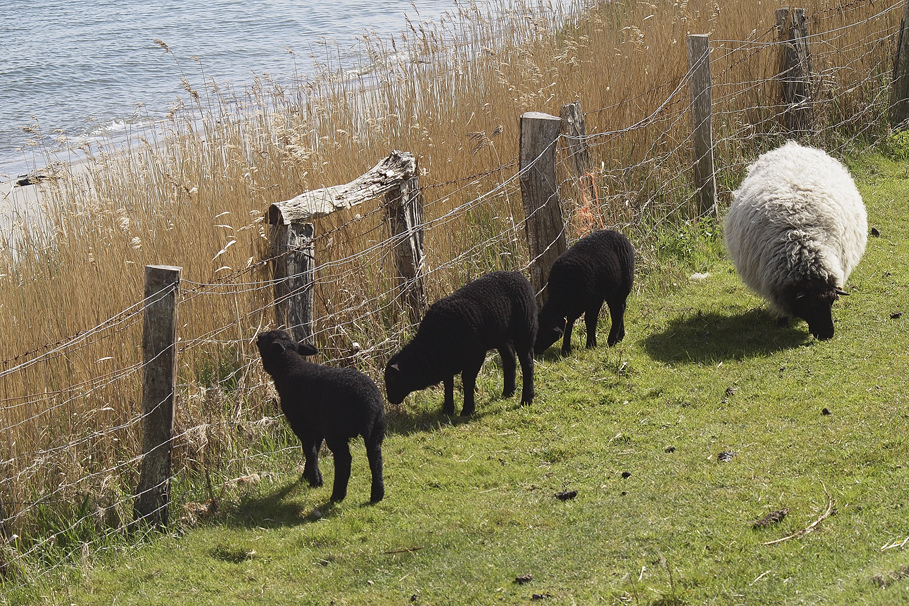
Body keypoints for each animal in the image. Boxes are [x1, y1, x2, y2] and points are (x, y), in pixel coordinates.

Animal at [254, 330, 384, 506]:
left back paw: (337, 495)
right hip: (376, 428)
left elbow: (309, 449)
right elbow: (314, 449)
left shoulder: (302, 425)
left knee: (344, 460)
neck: (289, 369)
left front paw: (315, 480)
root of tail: (367, 401)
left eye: (266, 339)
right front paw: (307, 474)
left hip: (336, 430)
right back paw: (377, 494)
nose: (258, 336)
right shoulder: (317, 426)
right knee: (375, 456)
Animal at [384, 272, 540, 418]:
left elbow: (467, 379)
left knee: (527, 364)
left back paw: (527, 399)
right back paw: (508, 392)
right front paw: (447, 409)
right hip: (501, 336)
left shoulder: (476, 355)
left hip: (525, 330)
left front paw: (467, 409)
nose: (390, 400)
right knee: (510, 359)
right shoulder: (447, 362)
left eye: (392, 380)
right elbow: (448, 383)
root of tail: (518, 275)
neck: (434, 343)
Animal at [724, 142, 864, 342]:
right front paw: (782, 321)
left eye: (832, 301)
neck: (801, 243)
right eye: (810, 306)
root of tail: (792, 146)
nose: (827, 334)